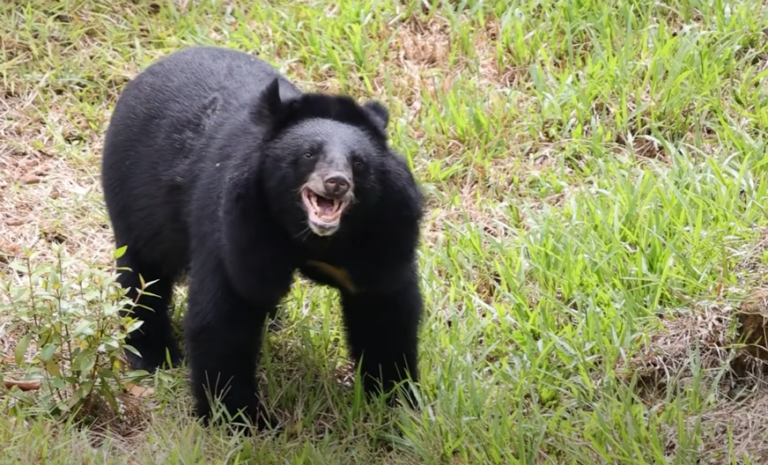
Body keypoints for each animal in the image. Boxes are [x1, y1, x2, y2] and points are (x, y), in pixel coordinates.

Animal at [100, 45, 425, 429]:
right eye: (309, 153)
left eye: (358, 162)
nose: (336, 182)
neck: (309, 235)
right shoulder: (237, 226)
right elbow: (225, 314)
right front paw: (240, 419)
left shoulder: (386, 233)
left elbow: (383, 311)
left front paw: (396, 399)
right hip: (134, 196)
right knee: (143, 274)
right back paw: (154, 354)